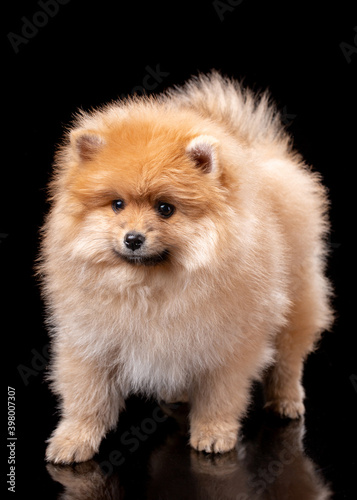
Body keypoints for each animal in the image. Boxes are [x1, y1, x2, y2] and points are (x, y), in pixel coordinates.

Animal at [37, 71, 332, 464]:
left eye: (165, 209)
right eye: (117, 204)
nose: (133, 238)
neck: (151, 286)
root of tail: (257, 149)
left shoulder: (229, 343)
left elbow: (220, 396)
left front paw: (213, 433)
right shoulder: (90, 340)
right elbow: (86, 396)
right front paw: (73, 440)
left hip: (298, 300)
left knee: (287, 358)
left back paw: (286, 401)